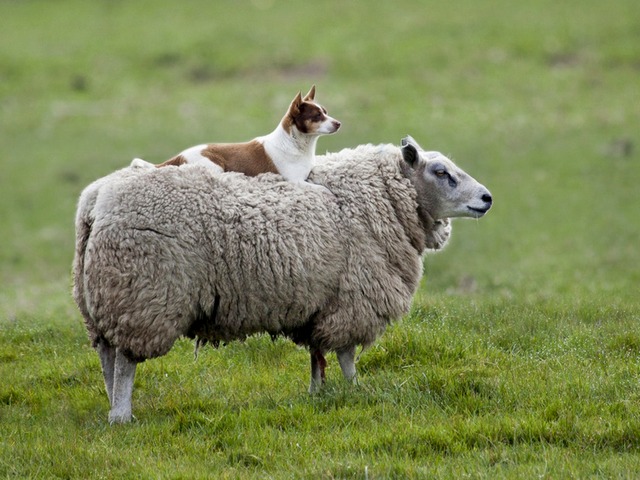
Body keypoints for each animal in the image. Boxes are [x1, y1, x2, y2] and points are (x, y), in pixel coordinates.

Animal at [76, 136, 496, 424]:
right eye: (441, 173)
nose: (487, 198)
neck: (379, 200)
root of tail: (96, 200)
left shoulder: (320, 303)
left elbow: (317, 355)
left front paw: (318, 395)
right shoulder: (354, 299)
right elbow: (345, 355)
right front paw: (355, 391)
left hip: (101, 298)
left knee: (107, 356)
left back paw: (113, 405)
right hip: (142, 295)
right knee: (125, 360)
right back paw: (122, 415)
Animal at [133, 85, 342, 185]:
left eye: (326, 112)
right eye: (317, 116)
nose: (339, 123)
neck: (297, 145)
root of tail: (178, 156)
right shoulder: (296, 182)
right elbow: (323, 190)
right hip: (214, 167)